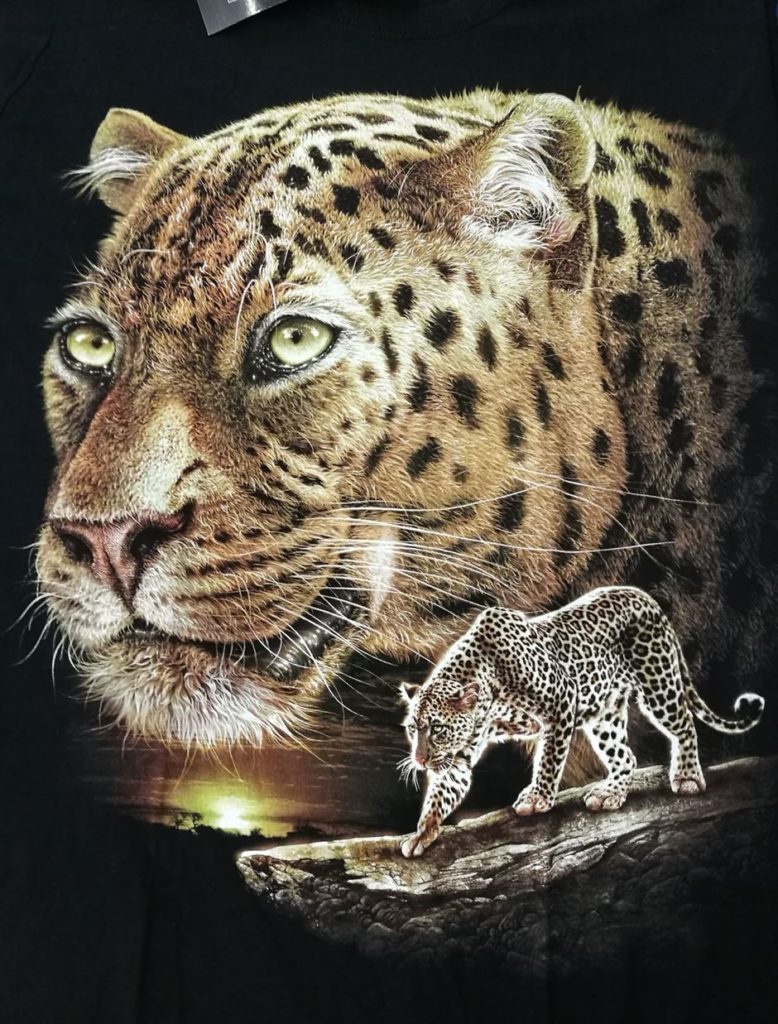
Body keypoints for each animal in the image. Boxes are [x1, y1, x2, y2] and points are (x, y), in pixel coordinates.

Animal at [398, 585, 765, 858]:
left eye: (438, 729)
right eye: (413, 729)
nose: (420, 760)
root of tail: (644, 596)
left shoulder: (561, 704)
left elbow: (549, 760)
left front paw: (537, 798)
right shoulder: (461, 753)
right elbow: (442, 793)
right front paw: (422, 833)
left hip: (658, 686)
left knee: (685, 725)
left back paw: (687, 777)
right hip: (605, 714)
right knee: (625, 756)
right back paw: (610, 795)